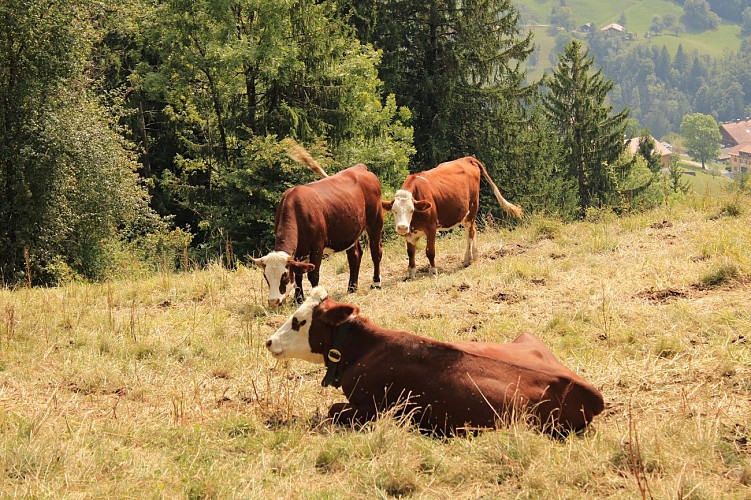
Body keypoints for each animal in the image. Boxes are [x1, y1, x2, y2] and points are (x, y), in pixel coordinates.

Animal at [252, 146, 383, 307]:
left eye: (284, 276)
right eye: (266, 277)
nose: (273, 301)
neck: (297, 209)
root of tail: (360, 168)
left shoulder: (317, 246)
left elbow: (313, 275)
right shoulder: (300, 251)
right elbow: (299, 275)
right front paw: (298, 299)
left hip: (375, 221)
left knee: (376, 252)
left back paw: (376, 283)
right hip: (351, 230)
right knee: (355, 255)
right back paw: (352, 287)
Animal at [266, 287, 605, 436]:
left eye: (298, 321)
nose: (269, 341)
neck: (365, 349)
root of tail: (589, 391)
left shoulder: (375, 408)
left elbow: (333, 410)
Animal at [382, 157, 522, 279]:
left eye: (411, 210)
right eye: (394, 211)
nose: (402, 227)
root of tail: (467, 158)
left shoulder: (431, 228)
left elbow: (430, 251)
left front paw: (433, 271)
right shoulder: (410, 232)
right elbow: (410, 253)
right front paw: (410, 273)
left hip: (472, 207)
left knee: (470, 233)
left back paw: (468, 258)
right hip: (466, 213)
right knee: (472, 230)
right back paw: (474, 255)